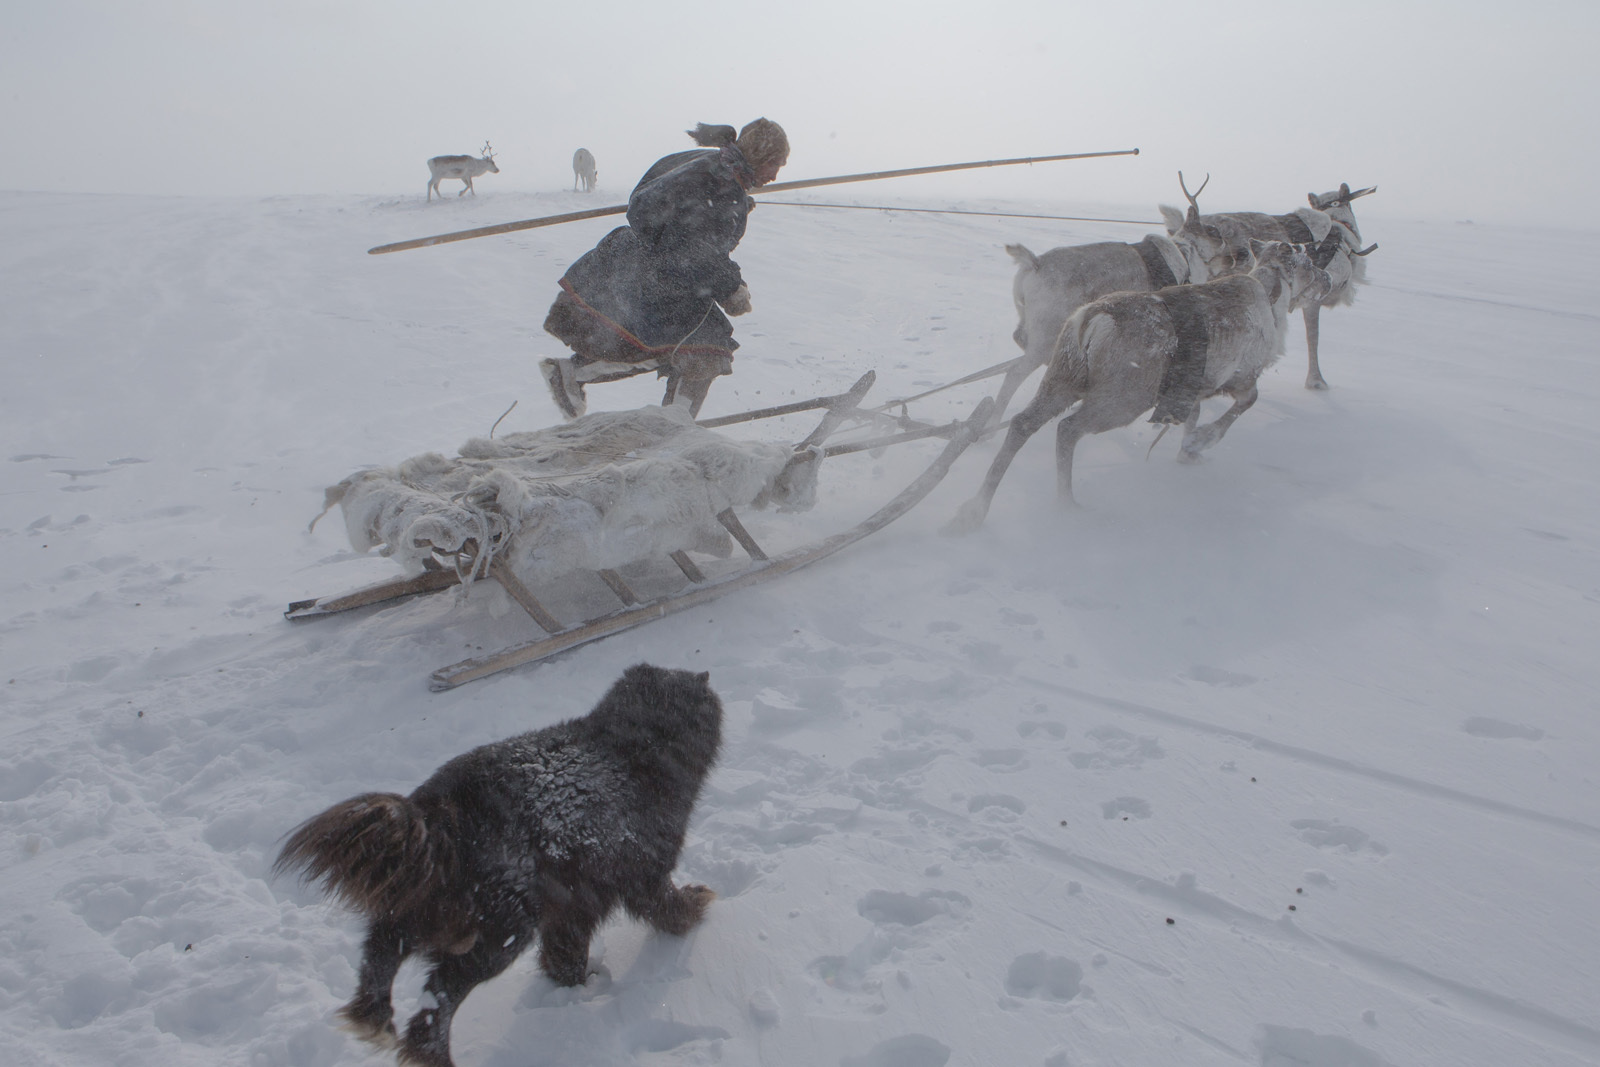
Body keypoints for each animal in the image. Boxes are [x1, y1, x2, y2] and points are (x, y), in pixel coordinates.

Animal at [276, 662, 726, 1062]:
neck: (630, 746)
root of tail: (440, 813)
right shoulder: (641, 870)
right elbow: (665, 906)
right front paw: (693, 909)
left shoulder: (574, 900)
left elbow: (565, 949)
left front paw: (573, 984)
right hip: (501, 929)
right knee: (438, 996)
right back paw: (429, 1054)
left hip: (422, 903)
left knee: (383, 947)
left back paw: (372, 1017)